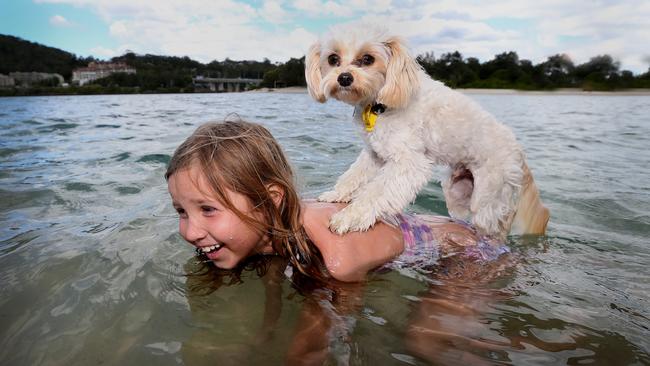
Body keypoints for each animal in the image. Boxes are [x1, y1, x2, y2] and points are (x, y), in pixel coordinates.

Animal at [304, 23, 548, 240]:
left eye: (368, 59)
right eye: (333, 59)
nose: (344, 78)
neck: (379, 103)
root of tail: (519, 153)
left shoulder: (409, 162)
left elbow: (375, 192)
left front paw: (349, 217)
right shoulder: (374, 153)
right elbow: (353, 175)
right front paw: (336, 195)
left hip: (489, 200)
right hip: (456, 192)